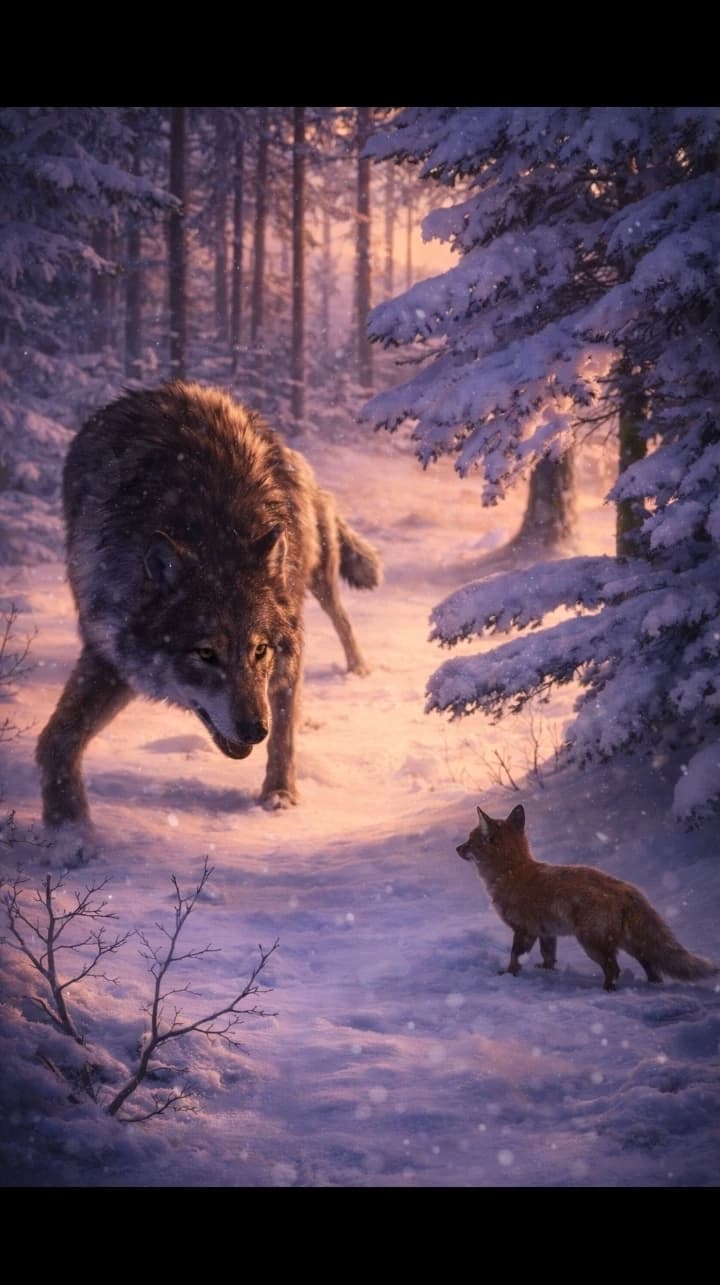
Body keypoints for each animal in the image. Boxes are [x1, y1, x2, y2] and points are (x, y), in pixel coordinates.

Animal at [36, 381, 381, 852]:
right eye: (205, 654)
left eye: (260, 650)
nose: (254, 729)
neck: (213, 530)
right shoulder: (109, 652)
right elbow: (59, 737)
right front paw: (69, 833)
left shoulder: (287, 653)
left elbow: (286, 734)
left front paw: (279, 797)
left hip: (318, 575)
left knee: (343, 619)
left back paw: (358, 670)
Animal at [456, 803, 717, 991]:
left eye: (470, 840)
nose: (457, 848)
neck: (512, 871)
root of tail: (627, 889)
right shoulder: (546, 933)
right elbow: (548, 957)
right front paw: (546, 972)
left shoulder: (524, 930)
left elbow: (515, 957)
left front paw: (508, 975)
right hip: (630, 944)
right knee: (652, 966)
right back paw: (651, 986)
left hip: (591, 943)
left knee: (614, 969)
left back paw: (606, 991)